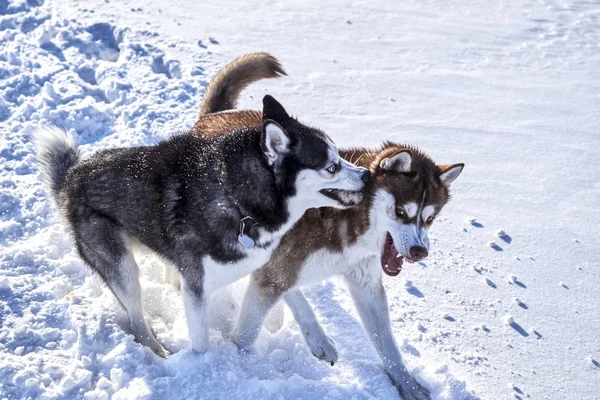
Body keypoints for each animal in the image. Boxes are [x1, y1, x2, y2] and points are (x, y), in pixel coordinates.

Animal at [35, 94, 370, 360]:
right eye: (331, 167)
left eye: (339, 155)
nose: (366, 174)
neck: (236, 200)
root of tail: (73, 176)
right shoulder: (197, 288)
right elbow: (201, 342)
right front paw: (201, 368)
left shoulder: (258, 260)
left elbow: (294, 295)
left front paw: (320, 340)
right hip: (120, 264)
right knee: (136, 317)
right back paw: (158, 352)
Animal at [192, 53, 464, 400]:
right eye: (402, 211)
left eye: (429, 218)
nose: (419, 251)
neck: (351, 218)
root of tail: (216, 116)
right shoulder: (274, 273)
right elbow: (245, 336)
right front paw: (238, 368)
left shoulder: (365, 282)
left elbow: (388, 345)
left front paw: (407, 383)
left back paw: (317, 337)